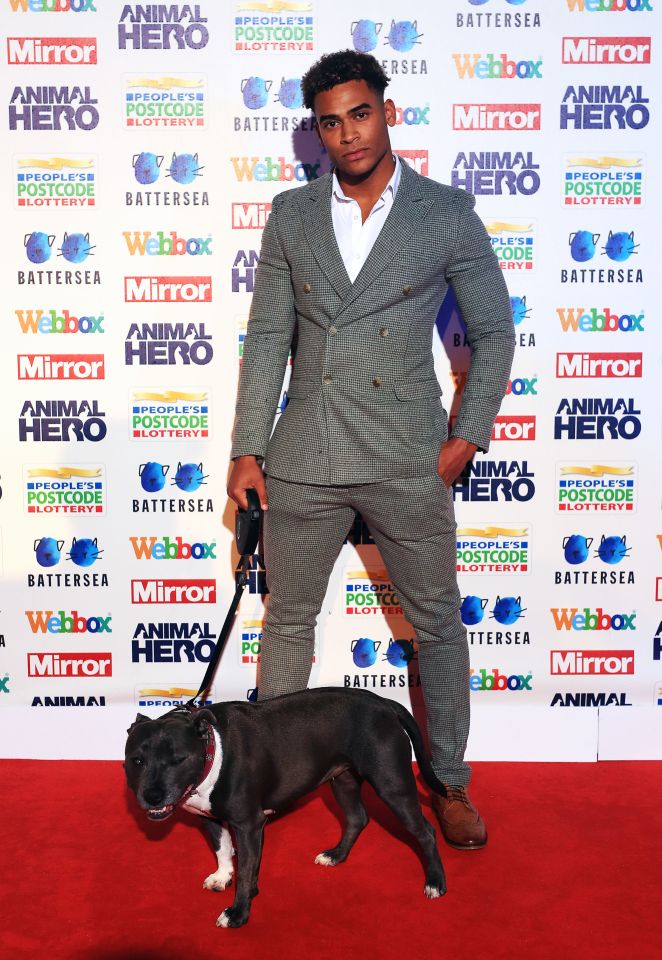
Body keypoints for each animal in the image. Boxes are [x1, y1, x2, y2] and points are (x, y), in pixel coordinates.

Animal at [123, 688, 446, 928]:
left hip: (392, 785)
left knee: (425, 832)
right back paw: (336, 855)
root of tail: (384, 703)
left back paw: (435, 882)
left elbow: (246, 872)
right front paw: (223, 875)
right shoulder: (209, 817)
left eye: (178, 759)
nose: (152, 795)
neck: (211, 747)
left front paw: (238, 912)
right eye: (136, 761)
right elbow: (223, 848)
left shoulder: (249, 826)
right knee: (357, 817)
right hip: (342, 780)